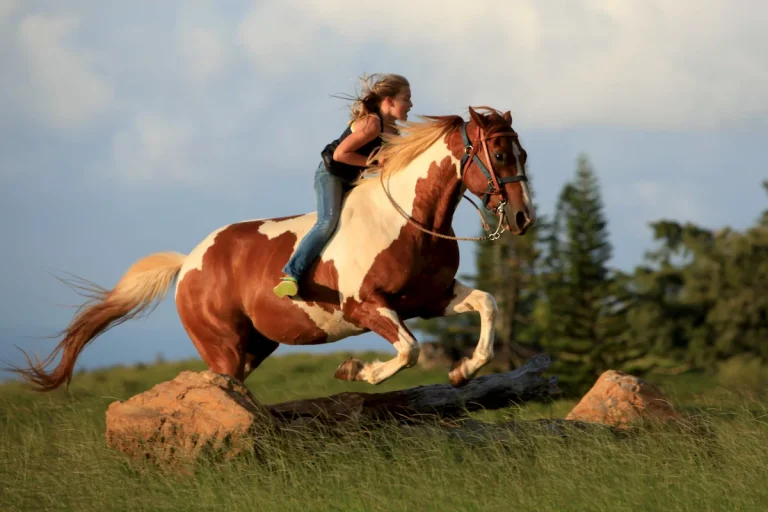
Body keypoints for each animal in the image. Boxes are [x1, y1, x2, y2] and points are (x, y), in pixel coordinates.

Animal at [10, 106, 535, 392]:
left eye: (523, 153)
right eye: (499, 154)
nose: (524, 218)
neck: (410, 220)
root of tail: (189, 263)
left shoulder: (429, 298)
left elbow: (487, 304)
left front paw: (462, 371)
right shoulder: (366, 307)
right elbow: (408, 350)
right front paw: (354, 371)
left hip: (254, 346)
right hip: (222, 346)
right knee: (221, 386)